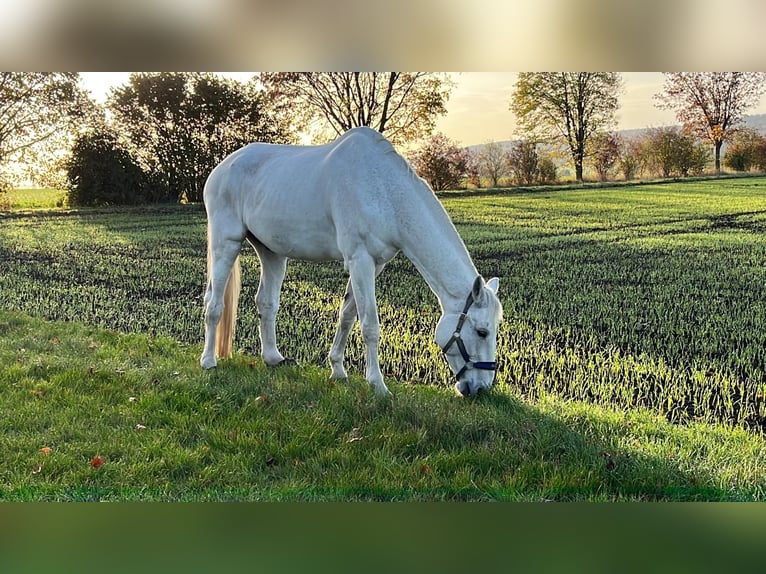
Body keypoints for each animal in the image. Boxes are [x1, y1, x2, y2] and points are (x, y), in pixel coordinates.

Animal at [201, 126, 508, 398]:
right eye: (481, 331)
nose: (481, 388)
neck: (383, 190)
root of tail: (221, 168)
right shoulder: (361, 261)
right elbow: (370, 324)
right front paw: (377, 385)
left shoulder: (373, 263)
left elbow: (347, 316)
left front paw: (337, 370)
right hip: (226, 243)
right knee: (213, 305)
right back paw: (208, 361)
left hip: (271, 252)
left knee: (266, 302)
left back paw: (273, 358)